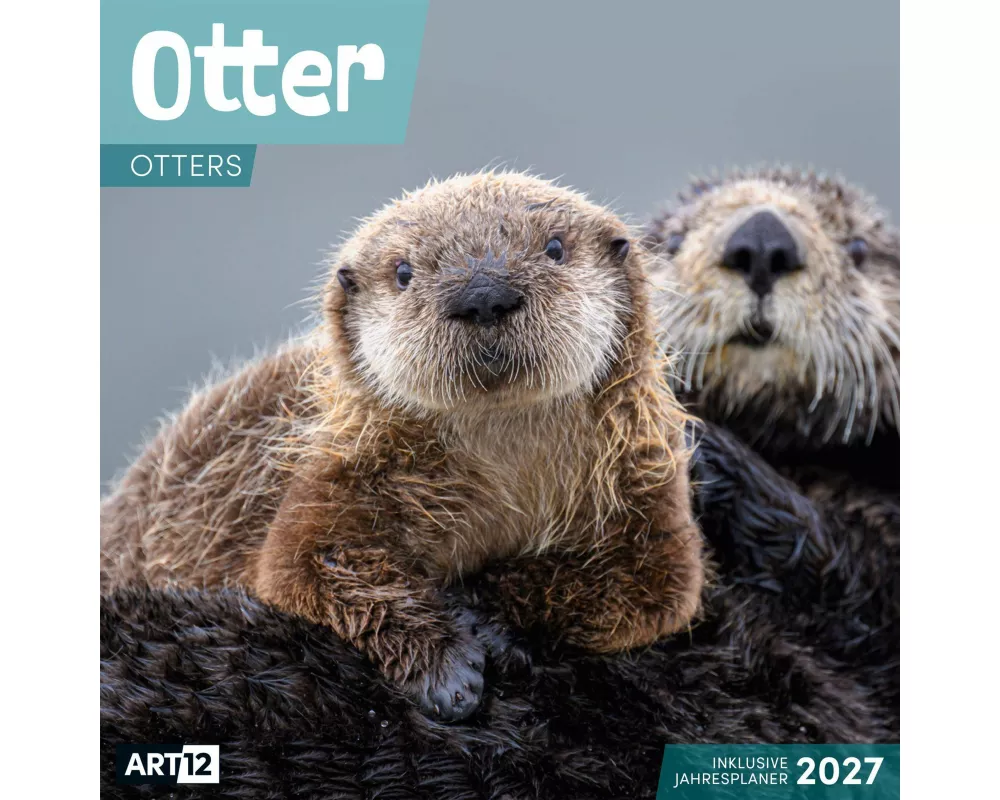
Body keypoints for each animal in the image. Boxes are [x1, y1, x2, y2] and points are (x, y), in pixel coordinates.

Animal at [101, 171, 705, 722]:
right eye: (404, 272)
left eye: (555, 248)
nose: (483, 294)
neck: (504, 468)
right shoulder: (344, 472)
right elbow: (308, 565)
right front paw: (446, 670)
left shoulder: (642, 482)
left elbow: (652, 585)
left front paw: (486, 616)